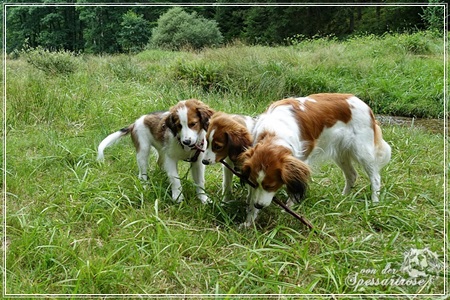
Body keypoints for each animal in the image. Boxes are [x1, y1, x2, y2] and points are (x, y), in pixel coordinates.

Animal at [239, 92, 390, 226]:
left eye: (271, 186)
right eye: (253, 183)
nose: (259, 205)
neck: (274, 132)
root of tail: (365, 105)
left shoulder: (302, 159)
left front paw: (288, 208)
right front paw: (249, 221)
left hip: (362, 152)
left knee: (375, 178)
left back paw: (374, 203)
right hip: (340, 153)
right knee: (352, 175)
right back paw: (343, 198)